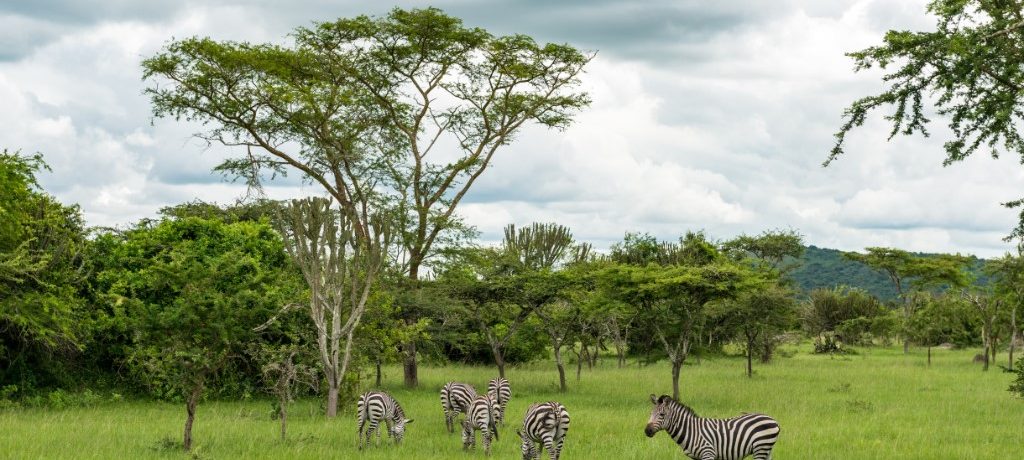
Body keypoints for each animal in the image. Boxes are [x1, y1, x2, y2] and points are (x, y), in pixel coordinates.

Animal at [643, 391, 778, 458]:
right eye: (650, 413)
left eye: (662, 415)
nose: (647, 431)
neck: (691, 431)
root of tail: (772, 419)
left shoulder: (708, 453)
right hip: (766, 449)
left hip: (761, 448)